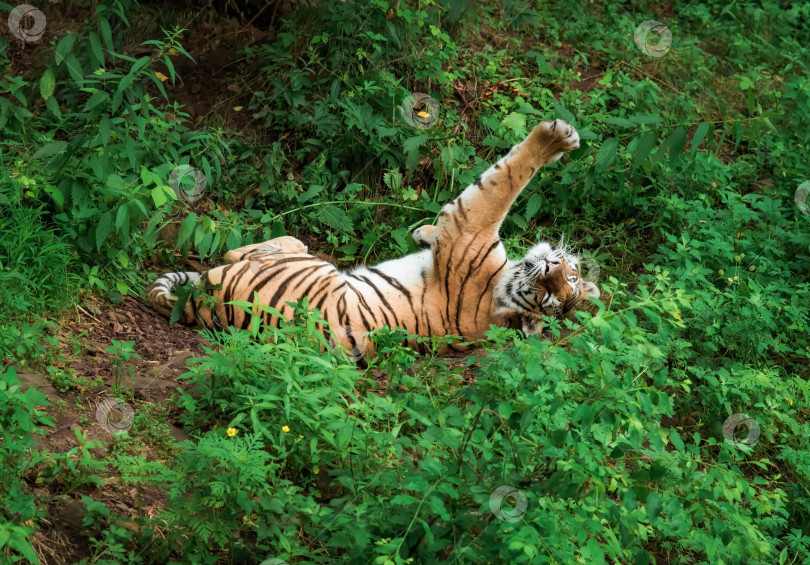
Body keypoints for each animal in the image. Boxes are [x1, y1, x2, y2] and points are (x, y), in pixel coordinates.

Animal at [148, 117, 596, 360]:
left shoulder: (470, 225)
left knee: (240, 250)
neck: (501, 293)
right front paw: (423, 231)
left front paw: (556, 139)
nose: (552, 265)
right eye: (566, 282)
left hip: (308, 269)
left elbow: (507, 178)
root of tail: (202, 306)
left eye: (549, 295)